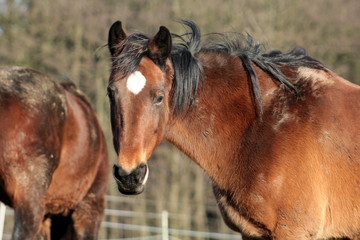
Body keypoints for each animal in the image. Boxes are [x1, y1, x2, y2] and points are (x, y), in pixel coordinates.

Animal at [107, 21, 360, 240]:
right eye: (111, 93)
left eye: (159, 97)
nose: (129, 176)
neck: (262, 127)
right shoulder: (251, 232)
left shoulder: (293, 231)